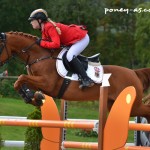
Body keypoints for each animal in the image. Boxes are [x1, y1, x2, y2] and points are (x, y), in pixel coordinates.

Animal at [0, 31, 150, 122]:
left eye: (0, 46)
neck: (39, 56)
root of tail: (134, 72)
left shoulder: (47, 83)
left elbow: (21, 78)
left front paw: (31, 96)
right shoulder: (38, 82)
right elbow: (20, 82)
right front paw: (33, 97)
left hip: (134, 106)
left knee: (146, 110)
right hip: (113, 104)